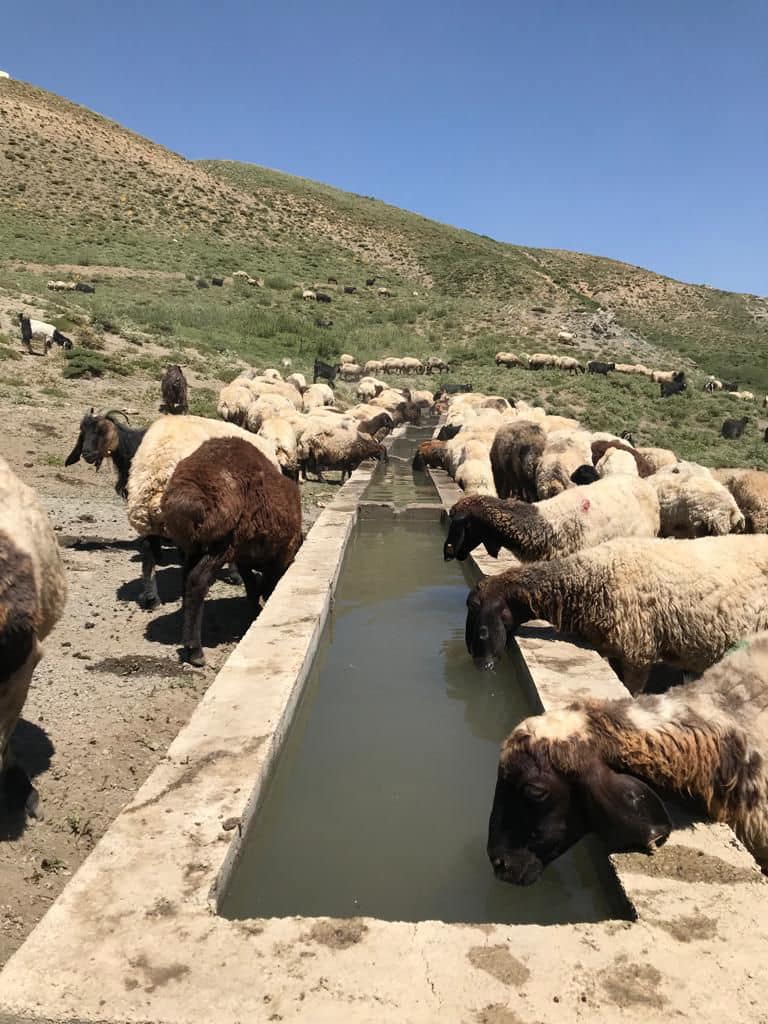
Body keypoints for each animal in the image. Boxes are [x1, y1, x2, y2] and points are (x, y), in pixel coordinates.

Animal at [160, 434, 303, 663]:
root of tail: (186, 495)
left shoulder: (244, 557)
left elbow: (252, 585)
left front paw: (254, 610)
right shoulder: (278, 556)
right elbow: (265, 584)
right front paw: (259, 607)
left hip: (195, 547)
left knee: (186, 579)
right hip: (222, 544)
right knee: (197, 581)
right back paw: (195, 650)